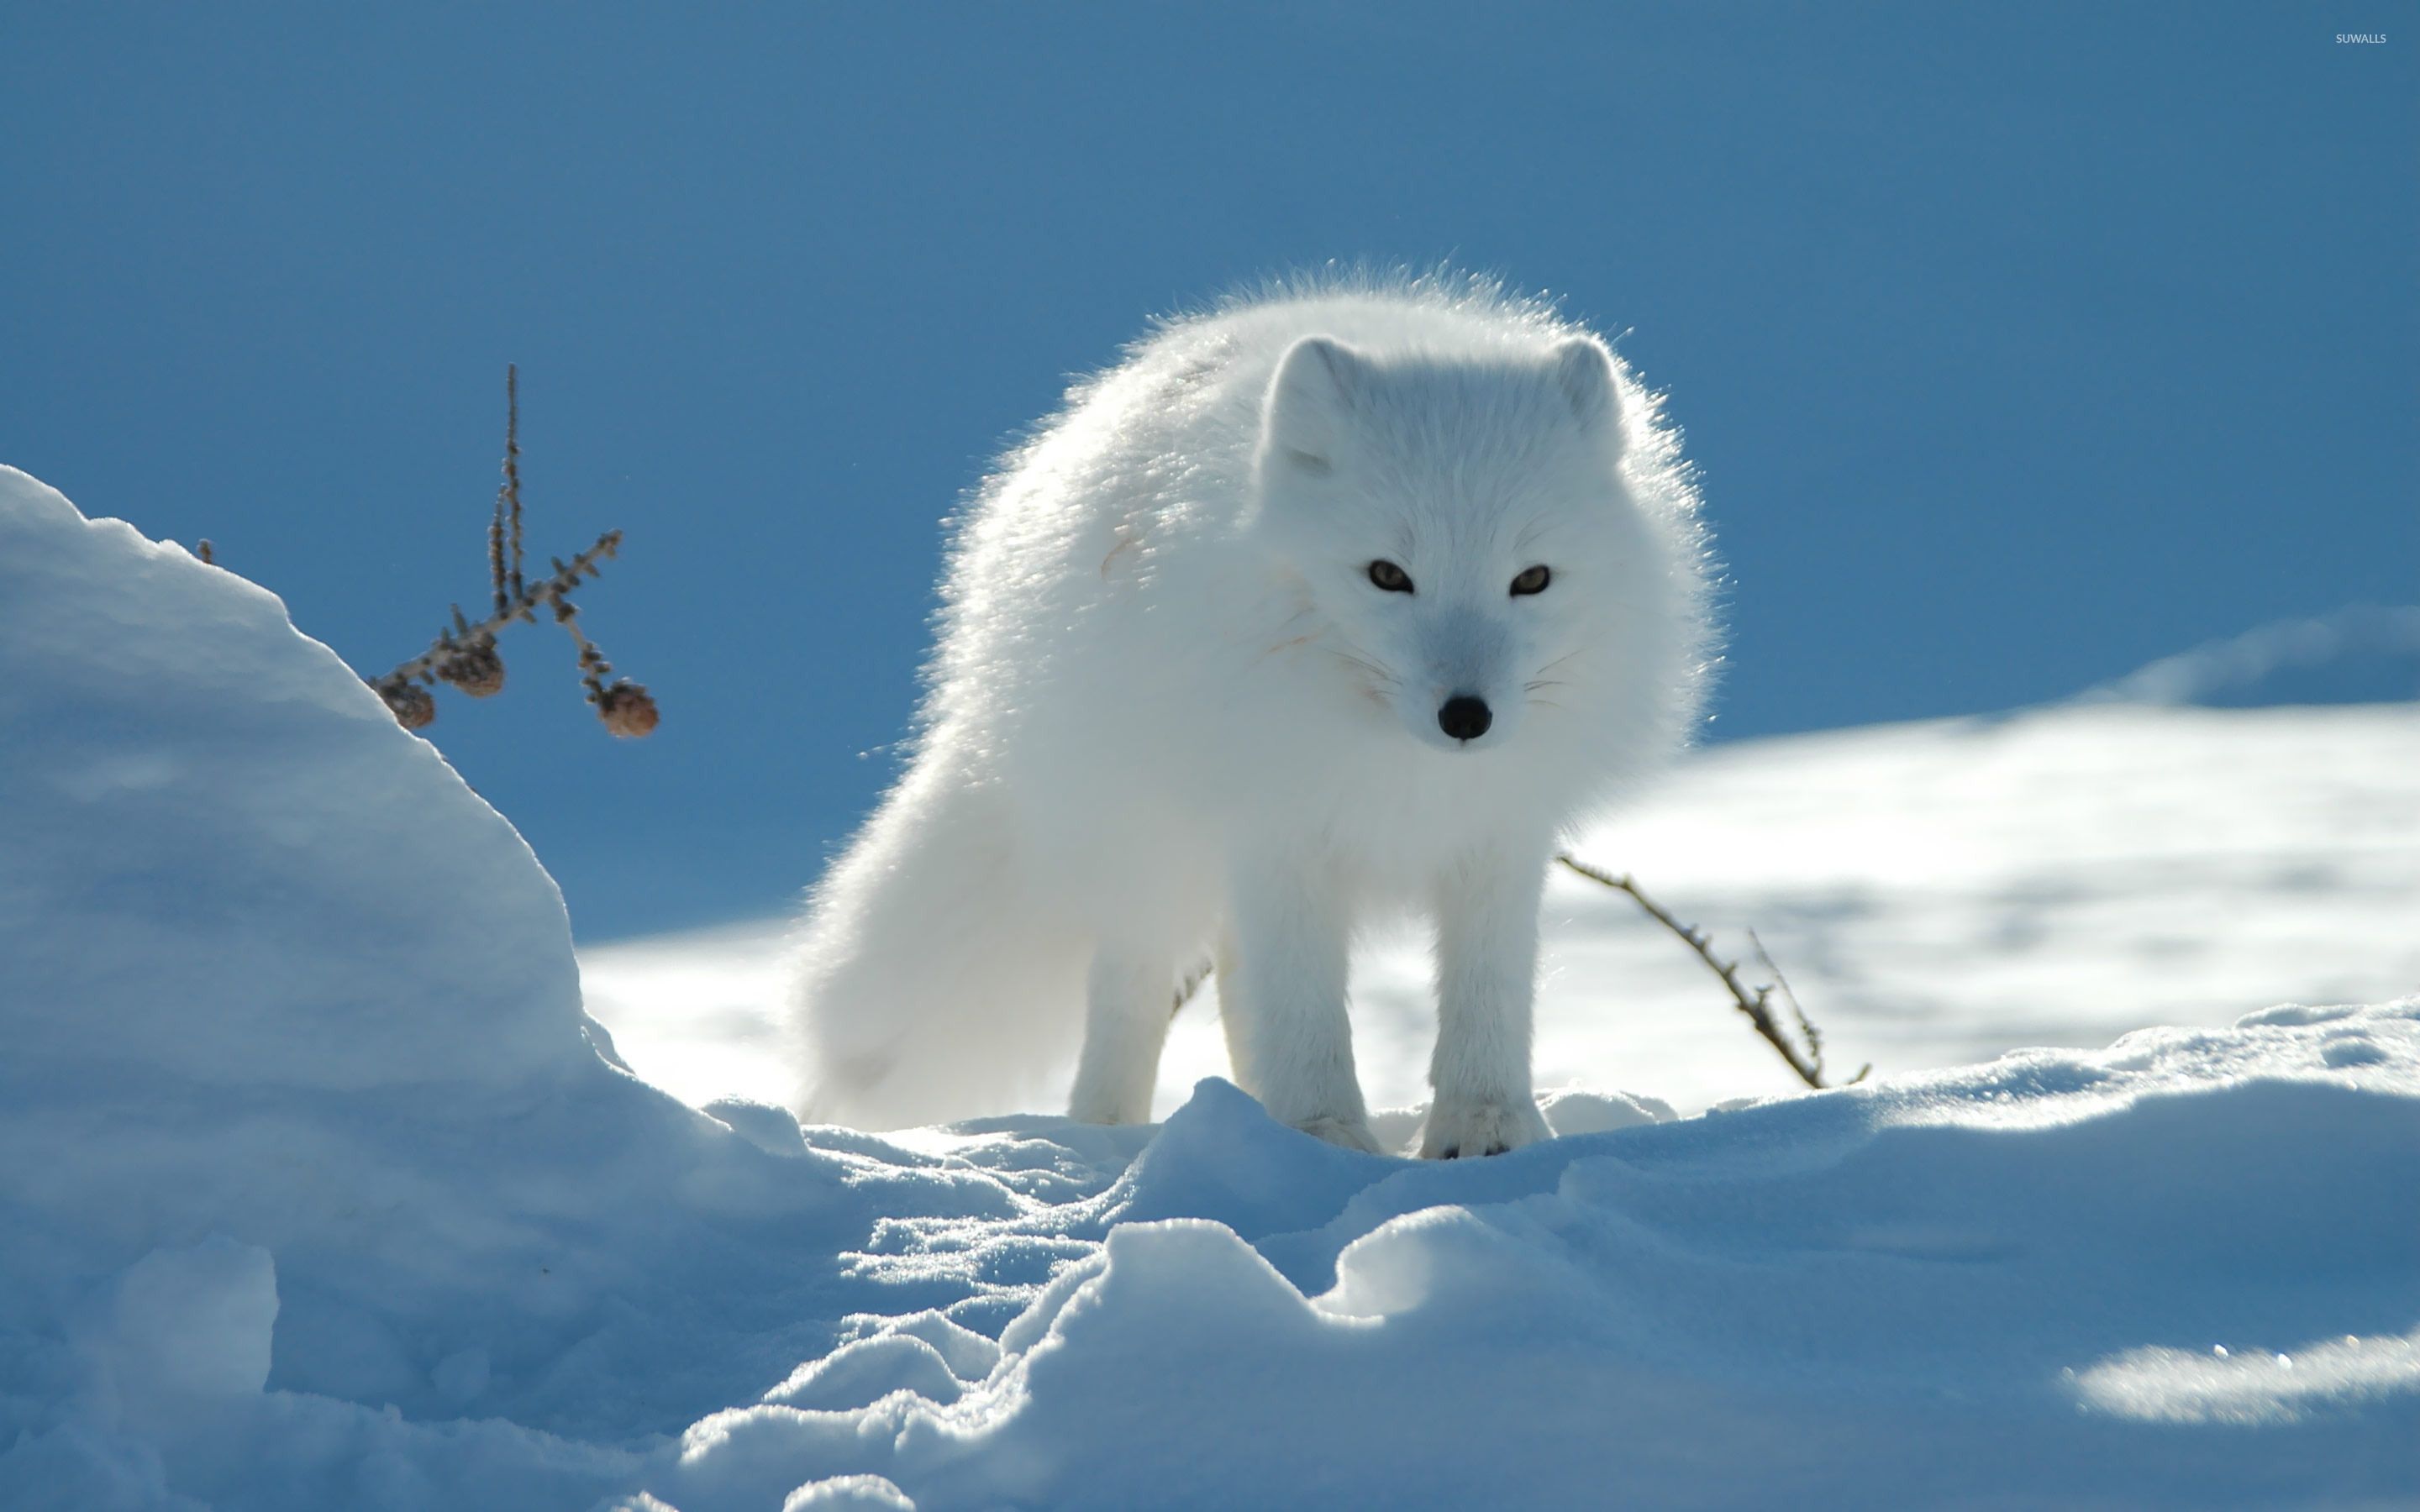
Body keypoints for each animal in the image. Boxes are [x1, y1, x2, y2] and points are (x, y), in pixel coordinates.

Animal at [791, 273, 1715, 1158]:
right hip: (1148, 847)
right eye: (1388, 575)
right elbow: (1303, 1010)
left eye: (1532, 580)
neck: (1399, 766)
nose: (1467, 718)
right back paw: (1109, 1134)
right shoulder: (1279, 828)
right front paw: (1323, 1136)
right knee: (1134, 991)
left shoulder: (1498, 836)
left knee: (1236, 986)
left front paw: (1485, 1129)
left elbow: (1487, 995)